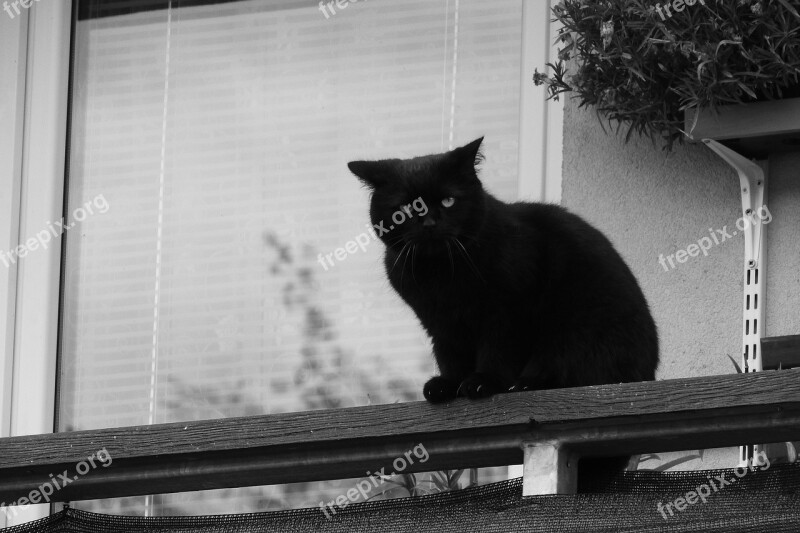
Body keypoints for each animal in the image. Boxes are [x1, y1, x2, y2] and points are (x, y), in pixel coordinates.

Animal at [346, 137, 660, 404]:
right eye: (407, 208)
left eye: (448, 200)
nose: (430, 223)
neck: (441, 274)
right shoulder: (439, 321)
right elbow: (450, 353)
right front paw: (448, 385)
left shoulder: (507, 310)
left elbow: (498, 349)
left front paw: (483, 382)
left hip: (575, 330)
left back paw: (526, 383)